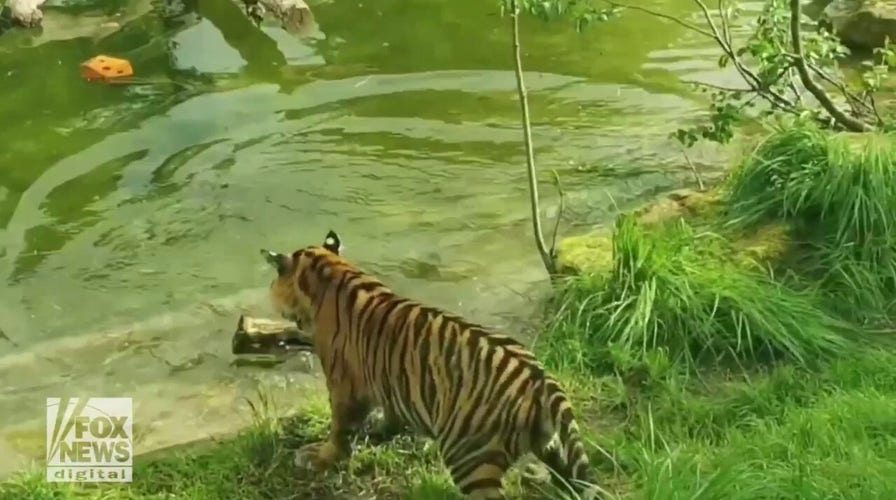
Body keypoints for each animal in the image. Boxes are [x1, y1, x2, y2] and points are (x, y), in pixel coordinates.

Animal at [260, 230, 598, 500]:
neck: (331, 273)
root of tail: (540, 381)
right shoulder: (387, 383)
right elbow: (390, 413)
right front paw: (379, 432)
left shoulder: (343, 385)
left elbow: (339, 429)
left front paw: (318, 456)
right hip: (555, 450)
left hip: (469, 458)